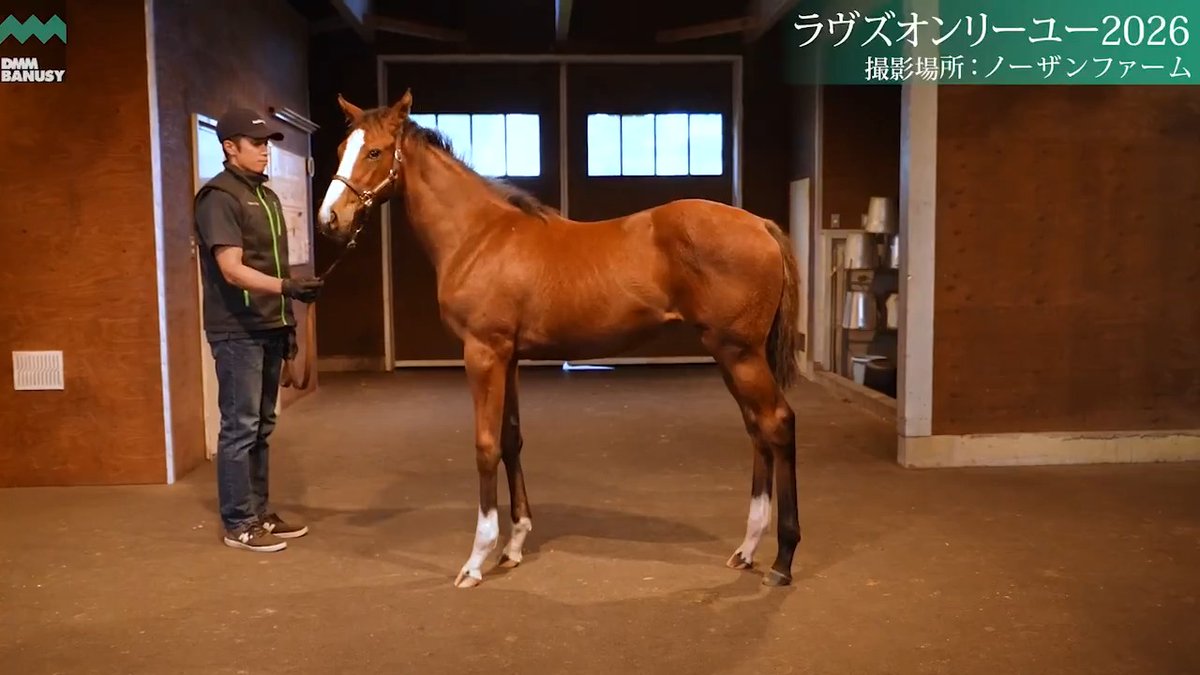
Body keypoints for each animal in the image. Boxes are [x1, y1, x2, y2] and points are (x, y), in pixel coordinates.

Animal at [315, 89, 803, 589]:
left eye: (375, 152)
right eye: (340, 149)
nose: (330, 220)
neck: (479, 236)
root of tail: (759, 224)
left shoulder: (483, 354)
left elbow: (486, 446)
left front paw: (477, 558)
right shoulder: (508, 357)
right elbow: (511, 438)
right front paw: (513, 546)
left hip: (739, 353)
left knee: (778, 423)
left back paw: (782, 559)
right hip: (730, 355)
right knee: (757, 429)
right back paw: (747, 549)